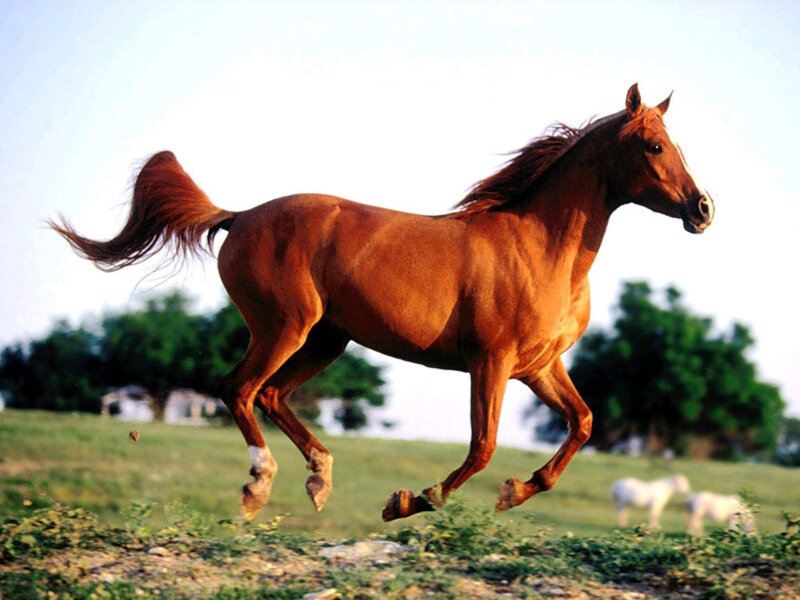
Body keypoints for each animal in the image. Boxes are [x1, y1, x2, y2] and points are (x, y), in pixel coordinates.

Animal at [50, 83, 714, 522]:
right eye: (654, 146)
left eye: (674, 142)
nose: (703, 209)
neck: (541, 248)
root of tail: (238, 216)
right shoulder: (492, 362)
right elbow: (482, 446)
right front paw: (412, 501)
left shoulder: (540, 367)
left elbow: (582, 423)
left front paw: (514, 491)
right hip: (284, 327)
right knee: (239, 389)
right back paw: (259, 487)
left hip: (326, 338)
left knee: (272, 394)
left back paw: (319, 481)